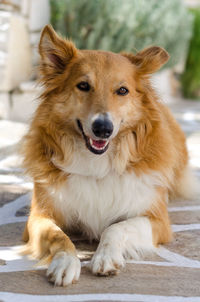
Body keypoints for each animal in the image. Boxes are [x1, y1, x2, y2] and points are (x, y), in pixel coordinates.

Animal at [21, 25, 197, 286]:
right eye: (83, 86)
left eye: (122, 90)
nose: (102, 128)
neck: (98, 163)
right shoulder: (38, 218)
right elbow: (58, 237)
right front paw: (65, 262)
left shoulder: (157, 221)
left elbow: (114, 228)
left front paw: (106, 257)